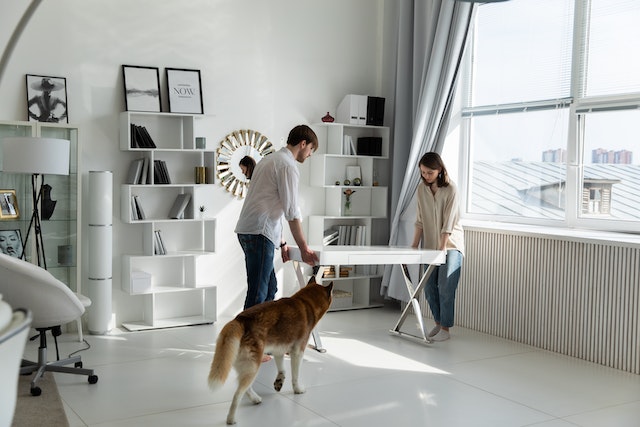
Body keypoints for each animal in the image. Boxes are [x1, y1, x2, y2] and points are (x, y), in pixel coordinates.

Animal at [209, 278, 332, 424]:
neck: (305, 302)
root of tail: (240, 320)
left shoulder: (278, 350)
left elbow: (282, 370)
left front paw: (279, 381)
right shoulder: (298, 352)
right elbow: (295, 376)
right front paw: (297, 389)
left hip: (246, 366)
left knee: (246, 388)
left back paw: (255, 398)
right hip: (253, 366)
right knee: (238, 394)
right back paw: (231, 418)